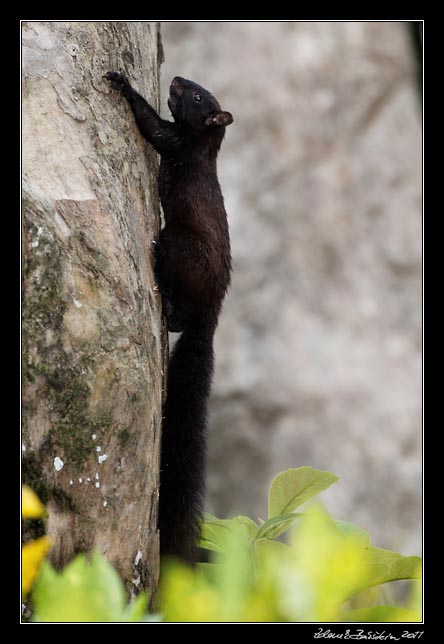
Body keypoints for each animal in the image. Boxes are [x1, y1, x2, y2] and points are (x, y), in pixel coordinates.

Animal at [103, 73, 232, 560]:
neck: (204, 148)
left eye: (195, 96)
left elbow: (151, 124)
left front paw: (121, 83)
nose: (175, 79)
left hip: (180, 243)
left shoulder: (173, 143)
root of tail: (211, 315)